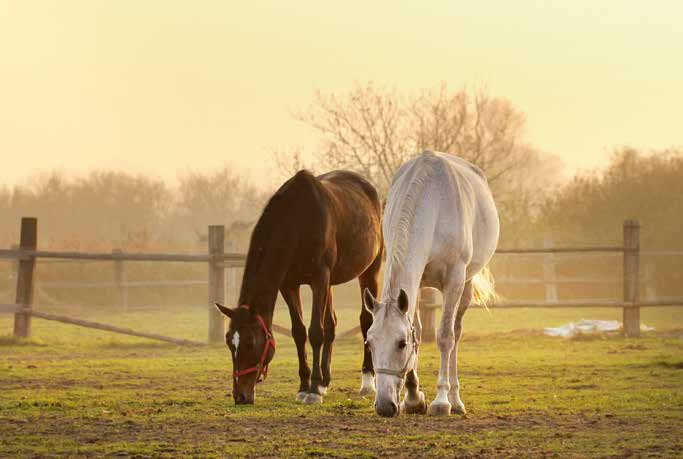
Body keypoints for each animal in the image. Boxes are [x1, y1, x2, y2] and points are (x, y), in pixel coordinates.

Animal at [216, 171, 382, 404]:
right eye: (230, 342)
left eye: (250, 341)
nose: (240, 396)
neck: (297, 221)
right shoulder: (289, 286)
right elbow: (299, 332)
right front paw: (305, 386)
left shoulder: (319, 279)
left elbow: (315, 333)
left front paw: (312, 391)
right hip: (330, 283)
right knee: (331, 324)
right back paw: (324, 382)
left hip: (369, 271)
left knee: (366, 320)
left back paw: (367, 382)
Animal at [360, 151, 500, 416]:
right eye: (369, 343)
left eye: (401, 344)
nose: (384, 406)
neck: (433, 204)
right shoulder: (416, 283)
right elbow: (418, 328)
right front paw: (414, 398)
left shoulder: (454, 280)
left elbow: (445, 337)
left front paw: (441, 401)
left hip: (465, 285)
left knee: (456, 333)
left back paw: (455, 400)